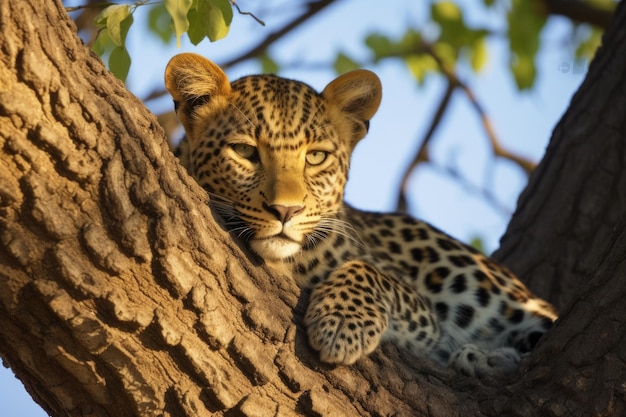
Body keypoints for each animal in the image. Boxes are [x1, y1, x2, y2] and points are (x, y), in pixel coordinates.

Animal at [163, 52, 552, 376]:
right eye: (244, 151)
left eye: (316, 157)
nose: (286, 210)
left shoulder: (425, 316)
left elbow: (370, 271)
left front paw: (341, 324)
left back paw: (487, 358)